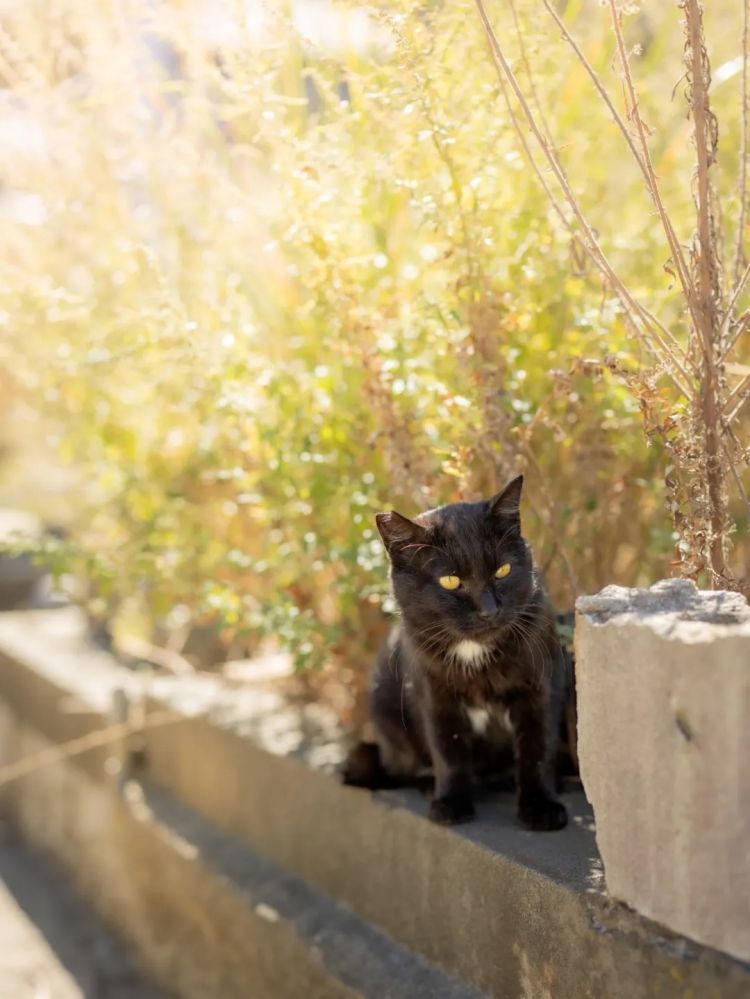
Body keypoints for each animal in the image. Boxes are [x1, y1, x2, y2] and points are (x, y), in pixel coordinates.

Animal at [346, 472, 568, 832]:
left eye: (503, 571)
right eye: (450, 581)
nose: (489, 610)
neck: (475, 654)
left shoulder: (542, 686)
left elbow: (537, 747)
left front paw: (541, 807)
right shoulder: (434, 695)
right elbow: (447, 749)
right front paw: (451, 804)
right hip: (385, 706)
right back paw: (427, 783)